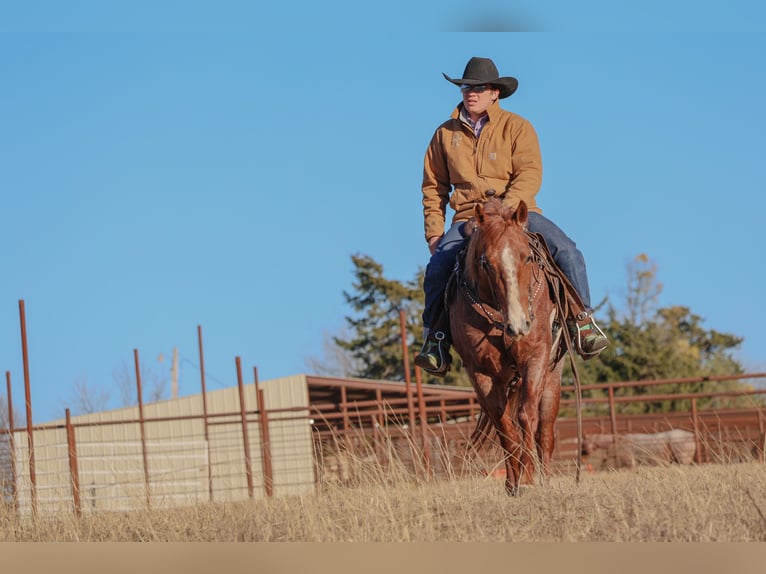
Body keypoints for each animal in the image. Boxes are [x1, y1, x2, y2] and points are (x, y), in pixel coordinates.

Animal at [448, 198, 570, 495]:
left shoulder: (535, 358)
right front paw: (515, 481)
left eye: (527, 257)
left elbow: (527, 417)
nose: (519, 325)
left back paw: (543, 477)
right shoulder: (482, 373)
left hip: (553, 376)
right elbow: (505, 426)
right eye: (485, 263)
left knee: (544, 430)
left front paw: (528, 479)